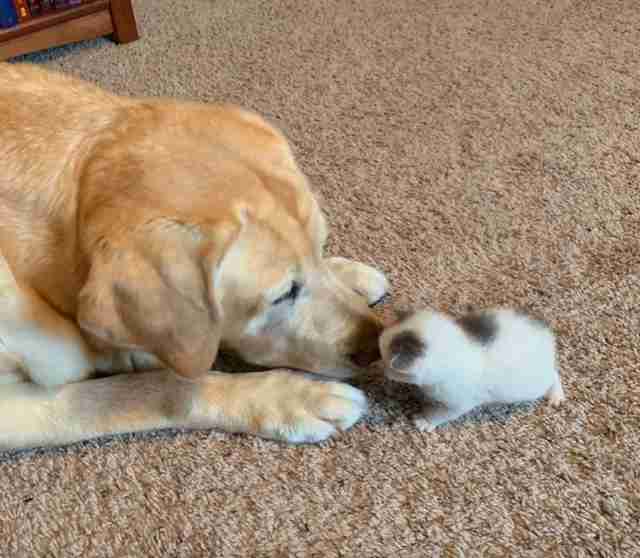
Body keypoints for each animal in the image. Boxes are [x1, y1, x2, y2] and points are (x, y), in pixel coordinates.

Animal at [0, 63, 390, 452]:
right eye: (282, 295)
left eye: (321, 247)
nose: (375, 346)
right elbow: (153, 389)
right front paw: (291, 396)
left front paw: (346, 273)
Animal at [380, 310, 564, 434]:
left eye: (386, 363)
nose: (383, 372)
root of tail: (548, 338)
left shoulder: (461, 402)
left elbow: (442, 414)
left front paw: (426, 420)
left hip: (532, 385)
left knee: (554, 375)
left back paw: (556, 395)